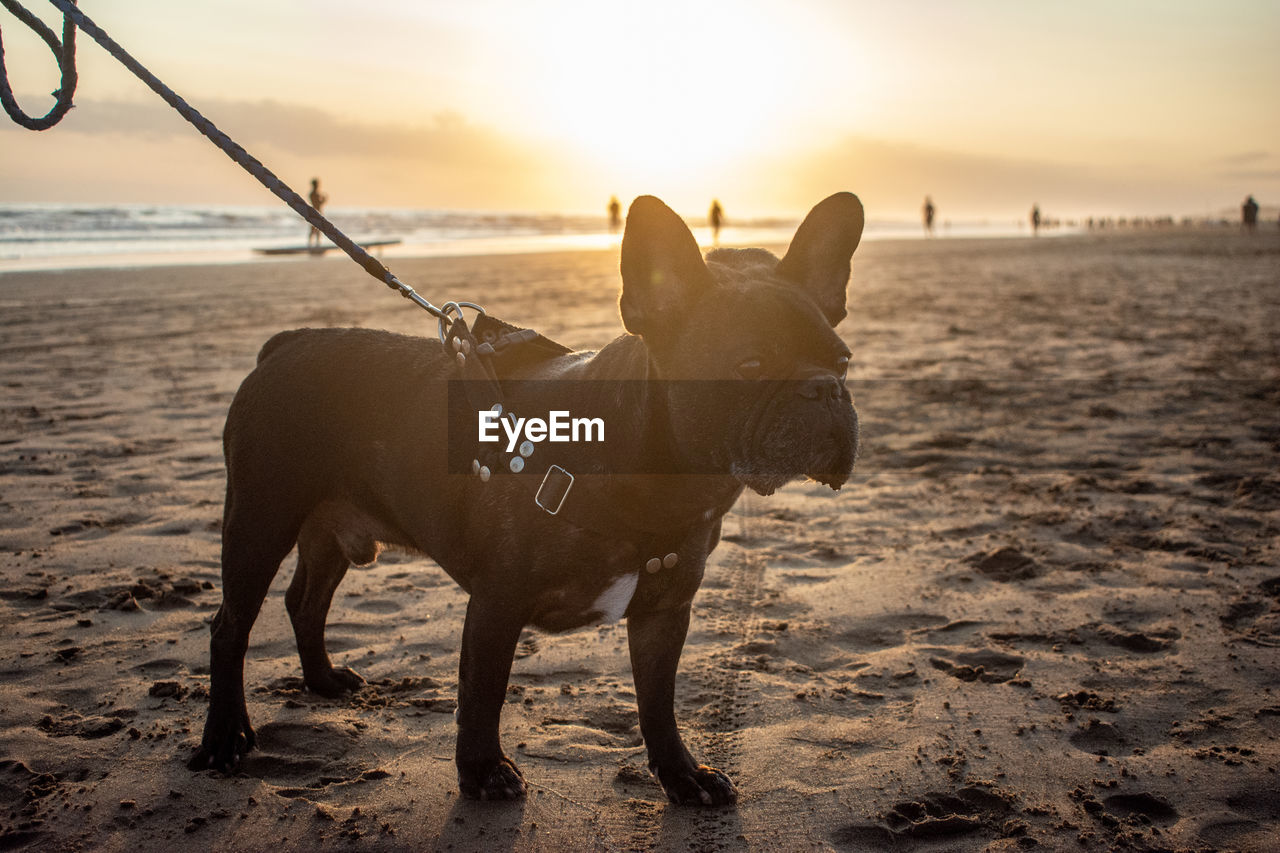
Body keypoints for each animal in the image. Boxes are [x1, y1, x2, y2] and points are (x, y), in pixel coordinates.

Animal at [189, 192, 865, 804]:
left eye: (843, 361)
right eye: (748, 365)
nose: (824, 389)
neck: (660, 481)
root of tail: (285, 343)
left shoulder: (663, 613)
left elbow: (658, 703)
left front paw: (681, 775)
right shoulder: (498, 602)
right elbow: (483, 693)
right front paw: (483, 772)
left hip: (327, 529)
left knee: (306, 602)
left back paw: (323, 681)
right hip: (260, 520)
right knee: (231, 627)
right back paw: (224, 737)